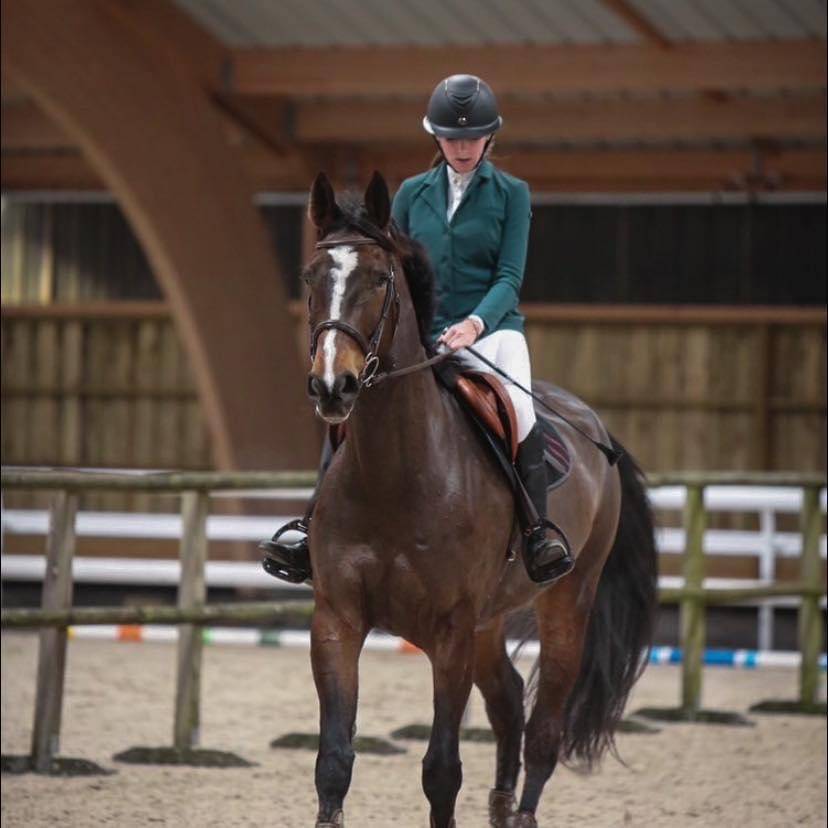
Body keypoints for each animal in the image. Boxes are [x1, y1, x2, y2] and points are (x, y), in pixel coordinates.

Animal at [298, 171, 657, 828]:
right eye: (312, 278)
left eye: (379, 278)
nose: (332, 386)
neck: (396, 474)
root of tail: (591, 422)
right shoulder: (336, 620)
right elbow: (333, 763)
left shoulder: (451, 632)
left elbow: (441, 771)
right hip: (491, 621)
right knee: (511, 702)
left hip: (566, 604)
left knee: (544, 731)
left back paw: (523, 810)